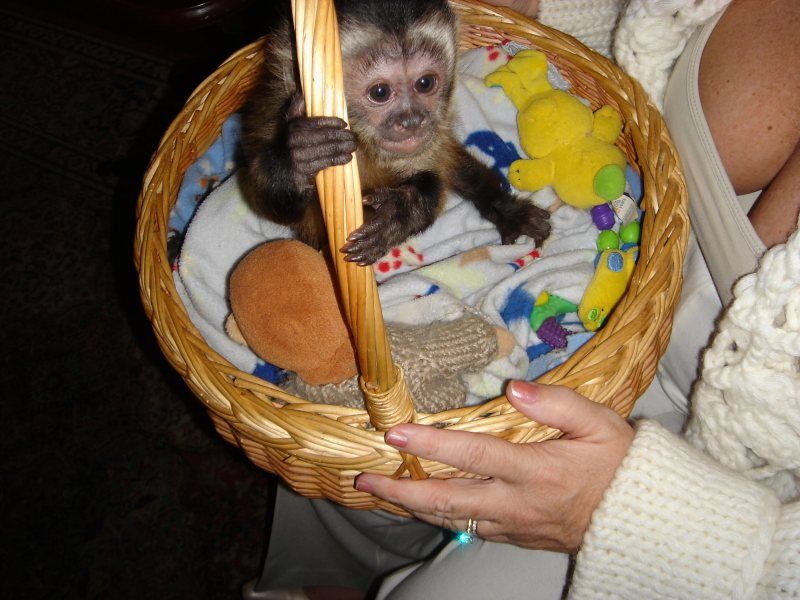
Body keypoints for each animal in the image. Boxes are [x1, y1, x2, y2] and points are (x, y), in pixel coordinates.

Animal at [239, 0, 551, 266]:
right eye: (380, 92)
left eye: (425, 83)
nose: (411, 121)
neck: (363, 145)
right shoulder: (275, 113)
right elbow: (272, 205)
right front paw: (301, 156)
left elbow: (436, 178)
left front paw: (401, 211)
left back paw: (504, 208)